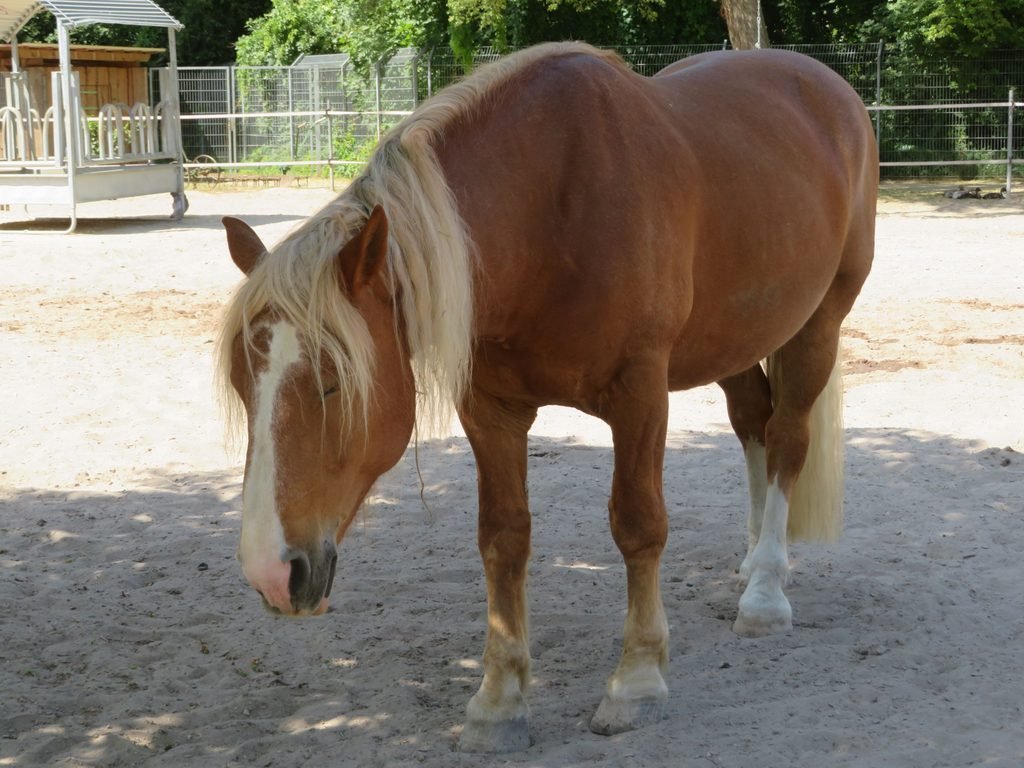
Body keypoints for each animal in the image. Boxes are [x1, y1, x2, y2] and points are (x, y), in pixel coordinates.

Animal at [216, 42, 877, 752]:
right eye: (242, 387)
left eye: (333, 383)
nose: (270, 573)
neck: (550, 213)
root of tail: (826, 84)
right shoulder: (489, 411)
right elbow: (503, 538)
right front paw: (498, 701)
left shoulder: (641, 396)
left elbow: (639, 525)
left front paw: (636, 681)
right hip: (735, 335)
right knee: (753, 422)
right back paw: (752, 562)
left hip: (818, 324)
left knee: (786, 438)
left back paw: (766, 593)